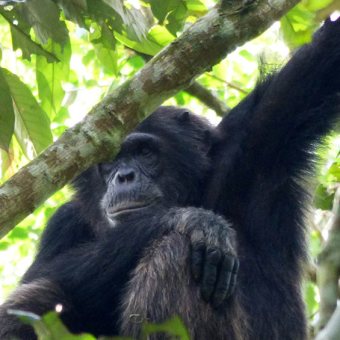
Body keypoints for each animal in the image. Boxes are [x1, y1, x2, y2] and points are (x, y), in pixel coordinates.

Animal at [0, 15, 340, 340]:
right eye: (110, 161)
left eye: (145, 152)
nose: (124, 176)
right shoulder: (64, 222)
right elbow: (39, 276)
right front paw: (191, 219)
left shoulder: (263, 137)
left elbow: (319, 65)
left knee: (175, 252)